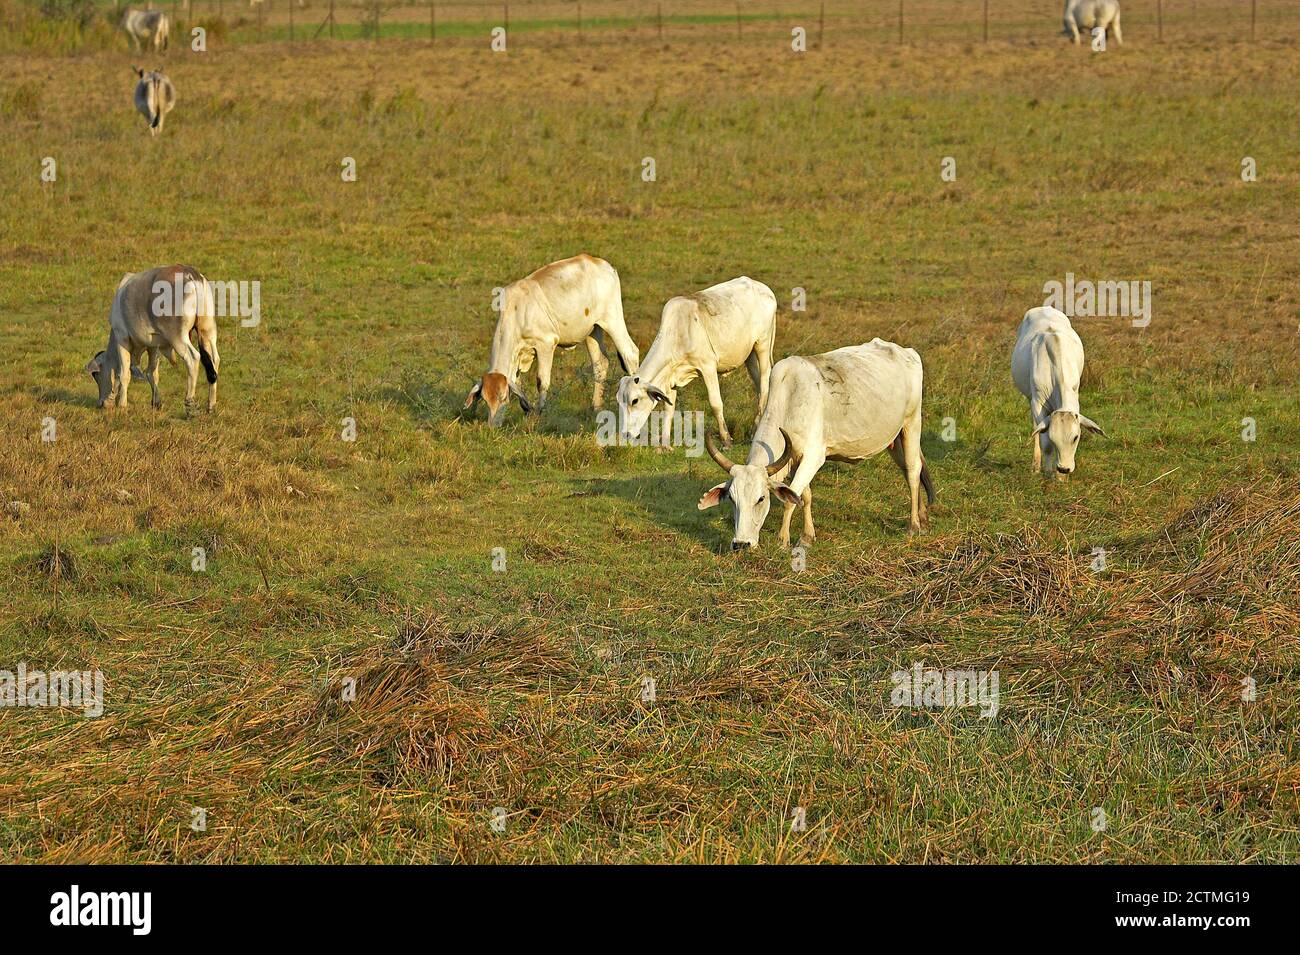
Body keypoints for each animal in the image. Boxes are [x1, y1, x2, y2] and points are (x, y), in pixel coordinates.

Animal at [92, 265, 219, 415]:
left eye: (96, 375)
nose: (101, 403)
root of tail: (190, 273)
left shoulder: (121, 338)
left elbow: (124, 374)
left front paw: (122, 405)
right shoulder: (153, 346)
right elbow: (152, 373)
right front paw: (156, 402)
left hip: (178, 338)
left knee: (193, 358)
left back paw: (190, 404)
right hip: (208, 331)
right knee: (215, 360)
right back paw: (211, 405)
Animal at [465, 254, 637, 426]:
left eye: (503, 398)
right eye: (485, 399)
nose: (492, 425)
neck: (518, 312)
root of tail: (602, 263)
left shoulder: (546, 344)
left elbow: (542, 381)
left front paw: (540, 413)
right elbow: (517, 382)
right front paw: (527, 409)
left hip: (612, 319)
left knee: (630, 354)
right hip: (593, 330)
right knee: (600, 363)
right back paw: (596, 407)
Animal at [616, 276, 774, 446]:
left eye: (635, 401)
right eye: (619, 401)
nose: (625, 434)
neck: (679, 332)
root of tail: (763, 288)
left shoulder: (708, 367)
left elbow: (716, 403)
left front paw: (726, 440)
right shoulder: (670, 376)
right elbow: (669, 409)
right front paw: (664, 444)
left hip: (763, 344)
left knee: (765, 383)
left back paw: (753, 431)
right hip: (749, 355)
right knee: (759, 386)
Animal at [696, 337, 930, 553]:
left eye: (761, 499)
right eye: (732, 499)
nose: (741, 544)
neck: (789, 400)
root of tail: (907, 352)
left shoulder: (813, 457)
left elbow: (791, 499)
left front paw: (783, 540)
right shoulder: (796, 458)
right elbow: (804, 496)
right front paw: (807, 536)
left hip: (911, 424)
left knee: (913, 472)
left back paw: (914, 525)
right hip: (895, 439)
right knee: (911, 470)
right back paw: (923, 516)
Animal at [1008, 306, 1102, 478]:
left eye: (1076, 437)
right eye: (1054, 438)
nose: (1064, 468)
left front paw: (1061, 477)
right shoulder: (1038, 402)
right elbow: (1045, 442)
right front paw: (1048, 472)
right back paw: (1036, 465)